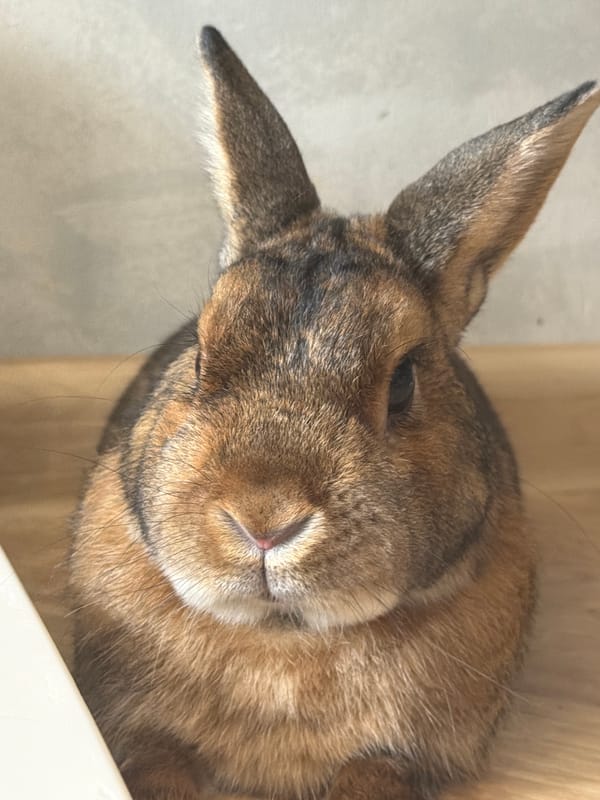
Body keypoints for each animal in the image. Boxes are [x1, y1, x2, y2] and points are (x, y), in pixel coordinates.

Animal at [69, 25, 600, 800]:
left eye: (403, 382)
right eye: (198, 355)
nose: (263, 520)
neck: (283, 637)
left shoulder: (396, 761)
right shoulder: (144, 742)